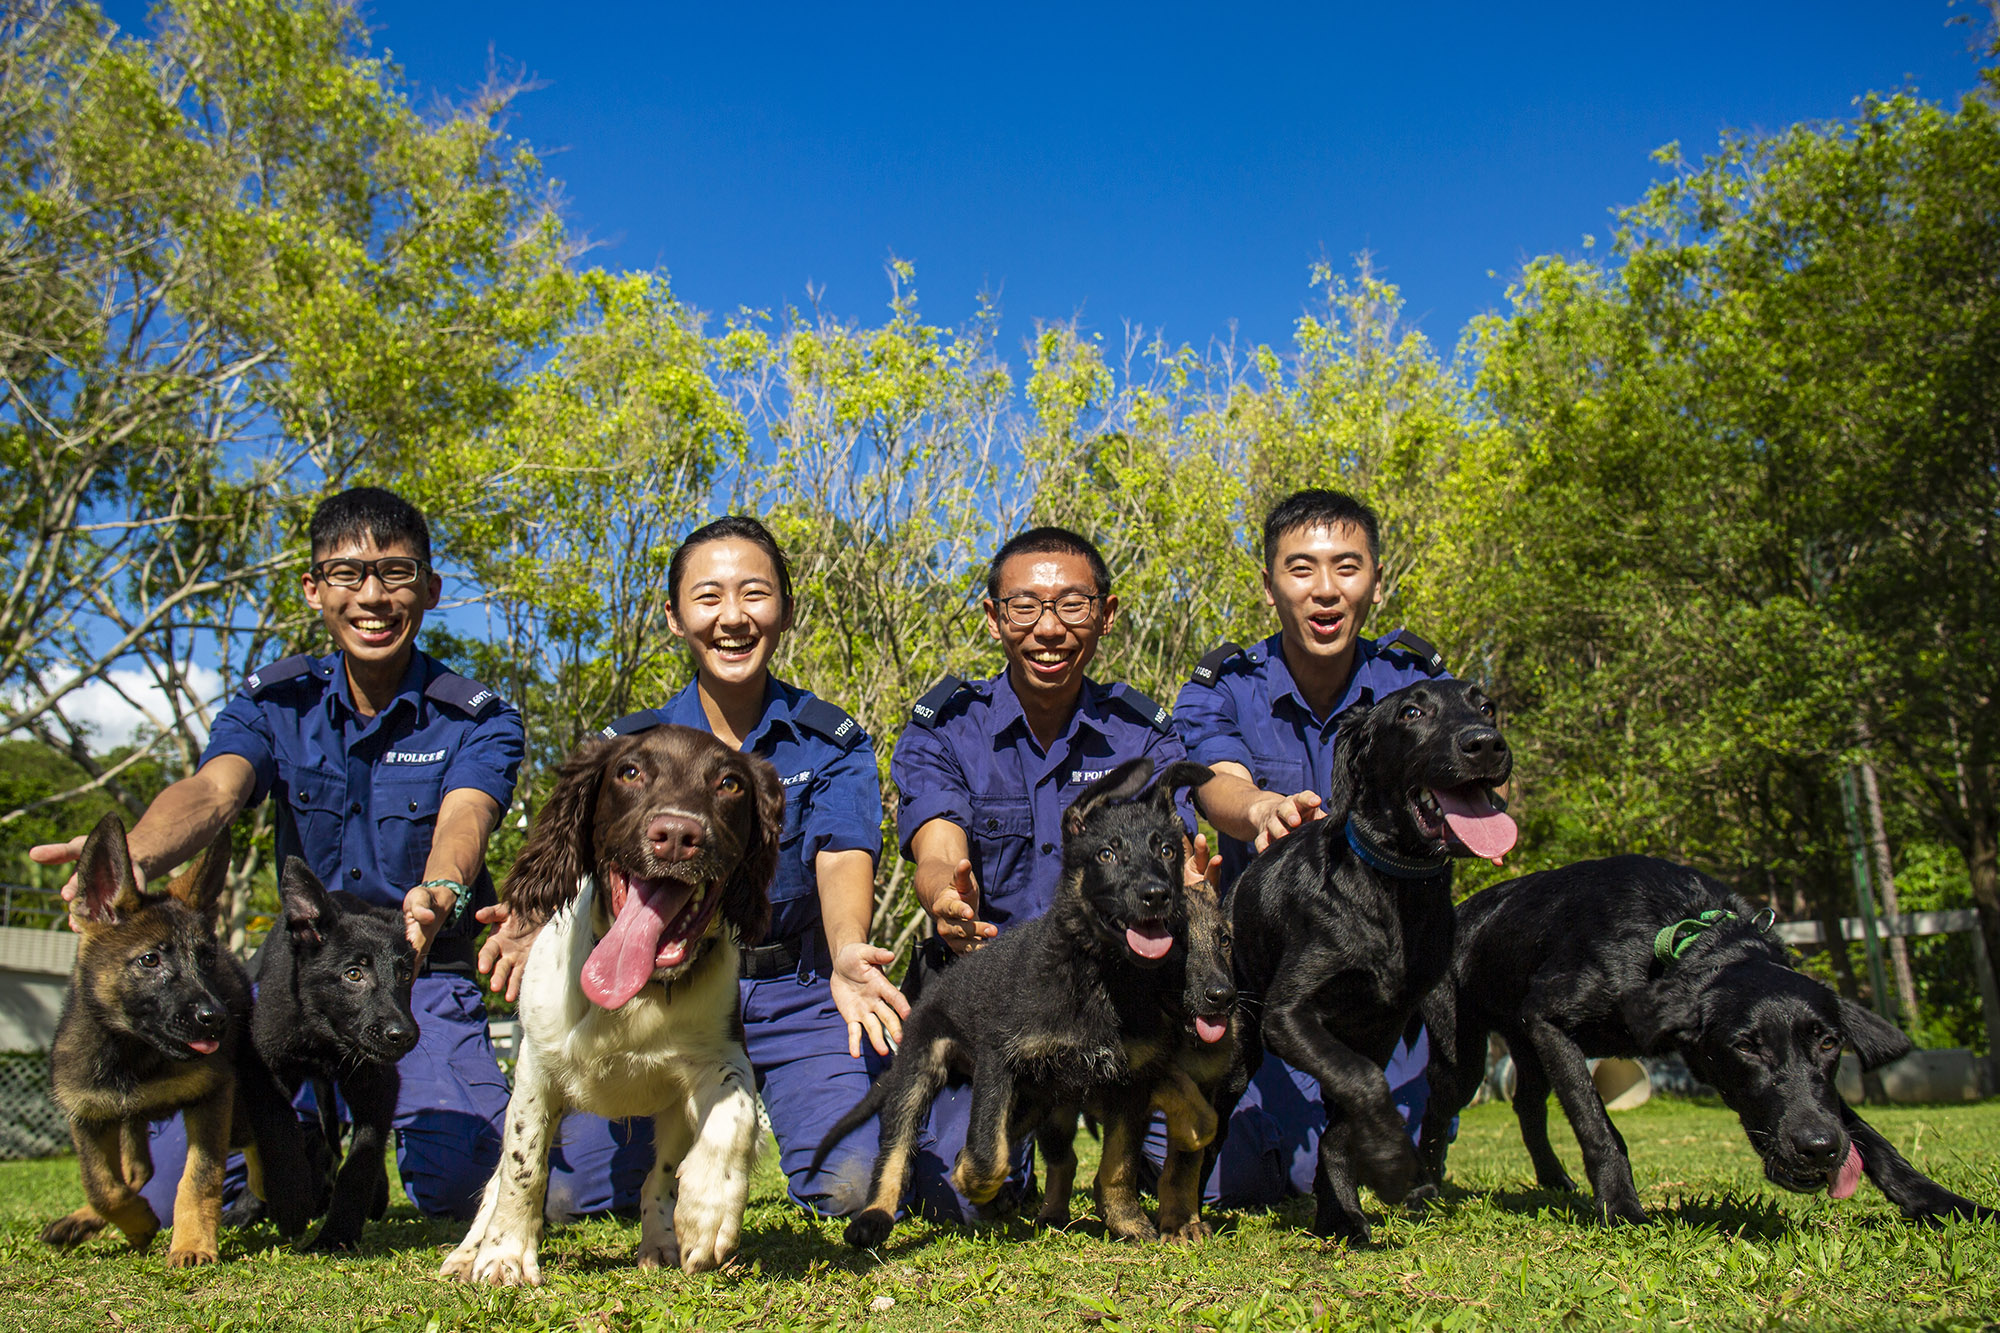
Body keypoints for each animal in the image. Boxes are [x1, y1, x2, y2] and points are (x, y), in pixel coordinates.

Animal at [816, 756, 1216, 1248]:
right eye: (1107, 854)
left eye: (1167, 851)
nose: (1157, 895)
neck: (1096, 974)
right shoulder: (999, 1058)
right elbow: (988, 1154)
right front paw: (970, 1181)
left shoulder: (1131, 1083)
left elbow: (1117, 1166)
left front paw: (1126, 1221)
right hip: (921, 1069)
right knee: (896, 1146)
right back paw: (875, 1216)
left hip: (1037, 1098)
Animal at [1216, 680, 1512, 1240]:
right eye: (1412, 713)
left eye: (1486, 707)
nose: (1485, 743)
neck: (1394, 886)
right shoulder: (1286, 1016)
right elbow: (1362, 1082)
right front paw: (1392, 1163)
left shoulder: (1383, 1024)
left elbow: (1349, 1110)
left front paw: (1346, 1209)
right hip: (1240, 1050)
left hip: (1456, 1056)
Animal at [1416, 856, 1992, 1216]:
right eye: (1746, 1046)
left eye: (1830, 1043)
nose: (1818, 1149)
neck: (1684, 934)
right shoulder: (1549, 1020)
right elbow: (1598, 1126)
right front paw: (1621, 1207)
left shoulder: (1815, 1096)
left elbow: (1866, 1133)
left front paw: (1941, 1203)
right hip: (1466, 1056)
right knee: (1438, 1112)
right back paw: (1423, 1187)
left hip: (1527, 1051)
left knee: (1528, 1108)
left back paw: (1554, 1182)